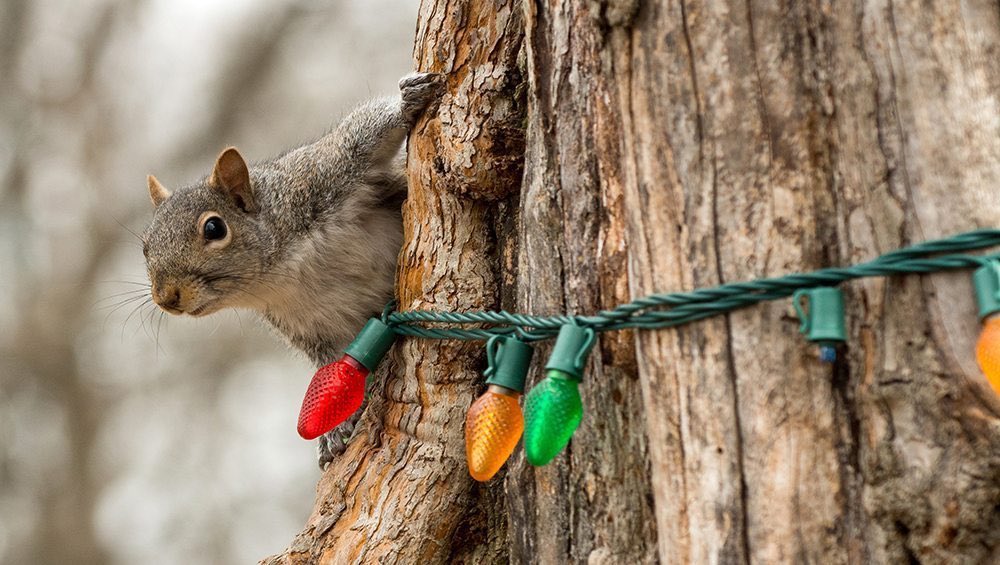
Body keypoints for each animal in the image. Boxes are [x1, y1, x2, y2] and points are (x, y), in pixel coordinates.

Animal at [141, 72, 443, 466]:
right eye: (145, 245)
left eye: (214, 228)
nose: (166, 297)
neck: (282, 273)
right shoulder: (312, 326)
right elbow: (337, 364)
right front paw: (335, 431)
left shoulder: (319, 177)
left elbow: (362, 134)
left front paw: (407, 100)